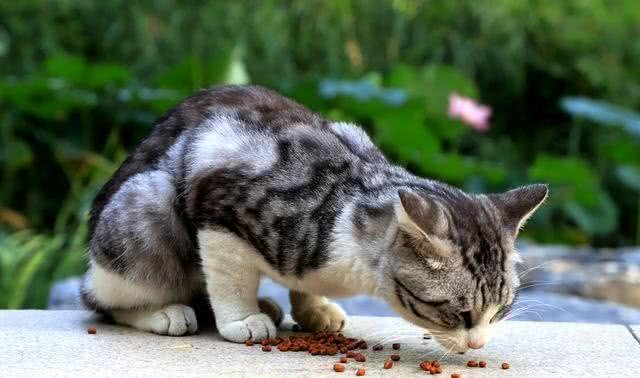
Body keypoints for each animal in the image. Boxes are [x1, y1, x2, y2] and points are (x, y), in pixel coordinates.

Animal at [82, 85, 548, 352]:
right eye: (461, 314)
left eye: (501, 310)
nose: (479, 344)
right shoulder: (218, 200)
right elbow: (230, 279)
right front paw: (239, 319)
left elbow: (301, 282)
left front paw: (314, 308)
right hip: (148, 203)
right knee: (104, 301)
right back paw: (166, 312)